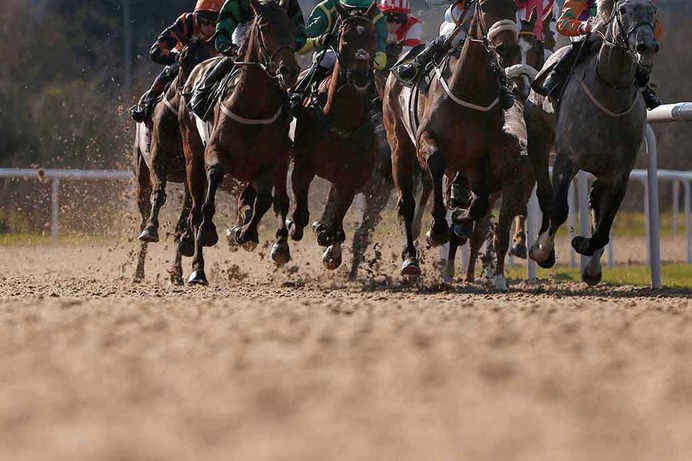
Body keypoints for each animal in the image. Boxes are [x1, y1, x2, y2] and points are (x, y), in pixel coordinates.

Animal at [132, 38, 214, 284]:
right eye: (185, 58)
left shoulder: (192, 169)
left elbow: (185, 220)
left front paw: (179, 269)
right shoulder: (158, 159)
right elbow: (159, 194)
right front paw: (151, 230)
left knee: (183, 221)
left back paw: (177, 272)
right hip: (141, 174)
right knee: (143, 212)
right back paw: (138, 271)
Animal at [182, 0, 302, 284]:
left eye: (292, 28)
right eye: (264, 28)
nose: (289, 71)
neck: (252, 108)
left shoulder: (272, 161)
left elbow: (265, 201)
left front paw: (245, 233)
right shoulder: (214, 153)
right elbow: (212, 187)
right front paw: (210, 231)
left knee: (266, 199)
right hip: (192, 156)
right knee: (195, 210)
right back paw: (197, 269)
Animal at [290, 2, 382, 270]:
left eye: (372, 38)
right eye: (345, 39)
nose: (361, 76)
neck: (341, 122)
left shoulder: (350, 178)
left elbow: (335, 220)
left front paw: (329, 241)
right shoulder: (303, 164)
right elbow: (299, 213)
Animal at [382, 0, 520, 288]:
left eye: (514, 6)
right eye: (483, 6)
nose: (507, 48)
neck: (470, 88)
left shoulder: (479, 156)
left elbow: (477, 205)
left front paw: (458, 221)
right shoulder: (426, 141)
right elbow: (435, 165)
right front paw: (436, 230)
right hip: (399, 145)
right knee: (407, 203)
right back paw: (410, 259)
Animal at [528, 0, 664, 284]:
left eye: (652, 9)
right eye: (623, 10)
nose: (646, 47)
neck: (611, 92)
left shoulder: (620, 172)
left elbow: (604, 224)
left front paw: (584, 249)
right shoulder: (566, 160)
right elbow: (559, 208)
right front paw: (542, 251)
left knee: (594, 201)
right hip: (537, 141)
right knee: (545, 193)